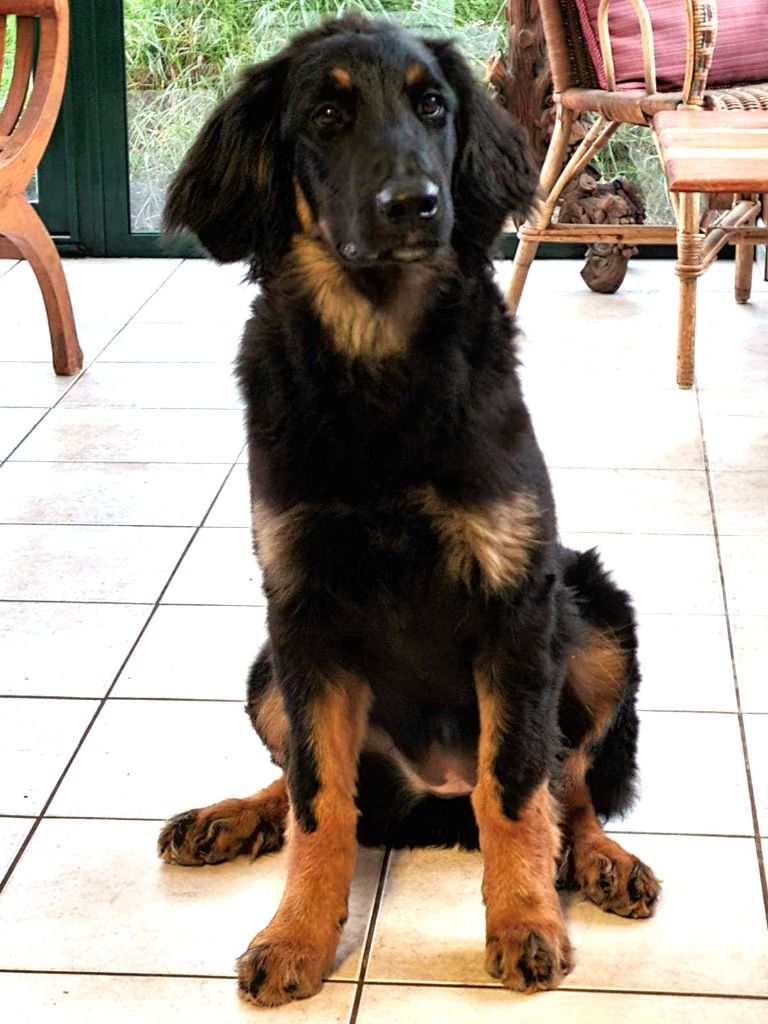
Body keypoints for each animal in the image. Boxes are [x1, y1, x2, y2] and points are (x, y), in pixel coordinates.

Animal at [157, 14, 660, 1007]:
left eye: (434, 107)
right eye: (324, 116)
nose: (417, 206)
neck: (379, 370)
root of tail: (430, 802)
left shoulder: (516, 601)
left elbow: (517, 787)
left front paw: (525, 923)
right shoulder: (303, 607)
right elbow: (320, 802)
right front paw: (297, 935)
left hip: (590, 614)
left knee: (571, 782)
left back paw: (598, 859)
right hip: (267, 665)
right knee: (317, 784)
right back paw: (235, 816)